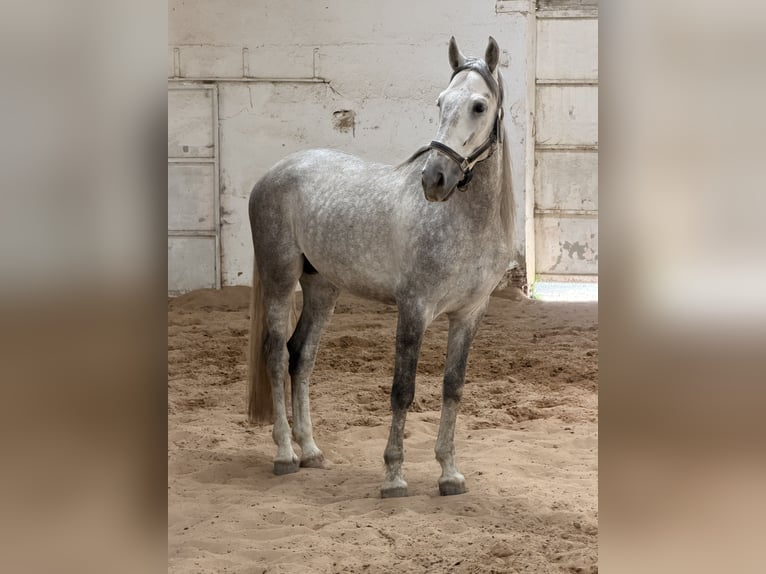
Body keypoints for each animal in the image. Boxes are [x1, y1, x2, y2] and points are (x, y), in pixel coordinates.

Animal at [247, 36, 514, 497]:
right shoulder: (414, 308)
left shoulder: (469, 314)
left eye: (479, 106)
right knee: (277, 355)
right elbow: (402, 389)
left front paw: (449, 474)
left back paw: (311, 451)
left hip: (322, 288)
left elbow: (453, 388)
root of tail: (271, 174)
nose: (434, 179)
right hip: (281, 281)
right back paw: (284, 455)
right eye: (440, 101)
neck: (464, 221)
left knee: (302, 355)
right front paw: (393, 476)